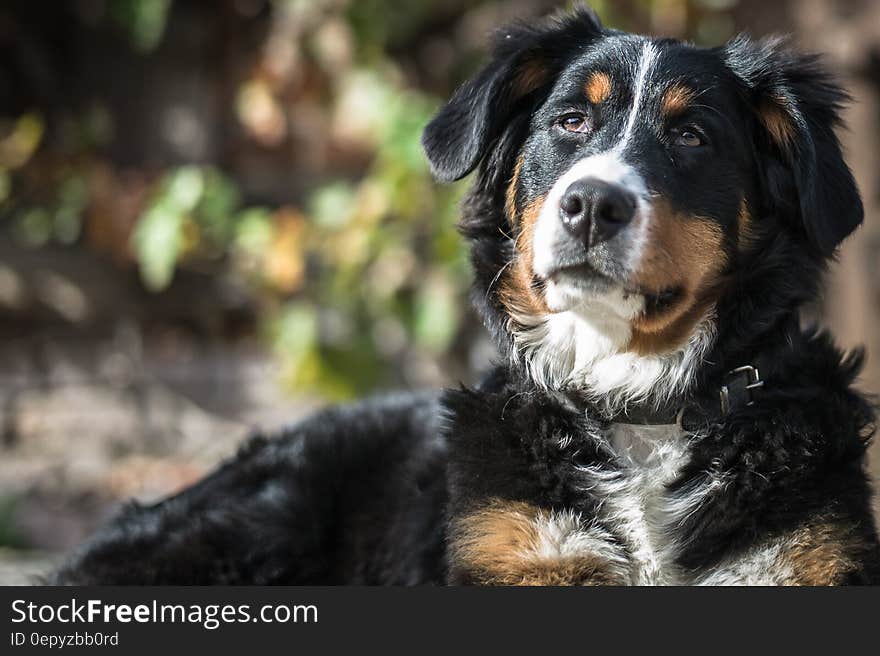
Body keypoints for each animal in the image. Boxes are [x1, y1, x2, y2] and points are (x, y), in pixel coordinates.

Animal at [53, 7, 880, 588]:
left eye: (692, 137)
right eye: (570, 120)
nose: (591, 204)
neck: (635, 412)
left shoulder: (794, 560)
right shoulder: (522, 549)